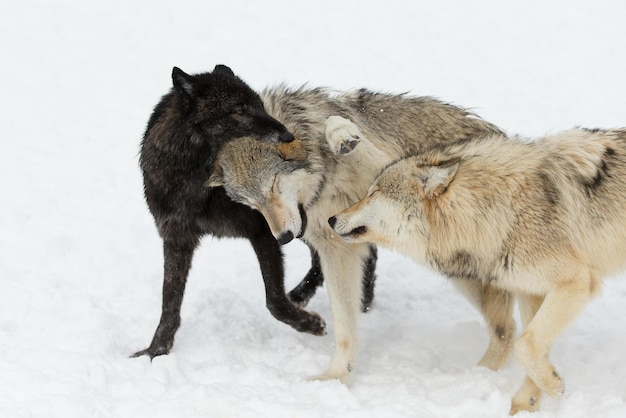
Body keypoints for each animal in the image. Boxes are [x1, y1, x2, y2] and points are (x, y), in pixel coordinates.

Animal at [205, 85, 512, 386]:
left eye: (273, 185)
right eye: (251, 203)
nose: (283, 237)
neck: (323, 178)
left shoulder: (392, 173)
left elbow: (341, 129)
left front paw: (341, 134)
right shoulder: (336, 250)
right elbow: (344, 327)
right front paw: (336, 377)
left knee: (505, 330)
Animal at [326, 125, 624, 414]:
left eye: (373, 194)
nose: (331, 219)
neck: (501, 209)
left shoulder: (576, 282)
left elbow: (526, 344)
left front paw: (553, 385)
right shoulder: (532, 290)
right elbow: (535, 346)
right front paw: (526, 404)